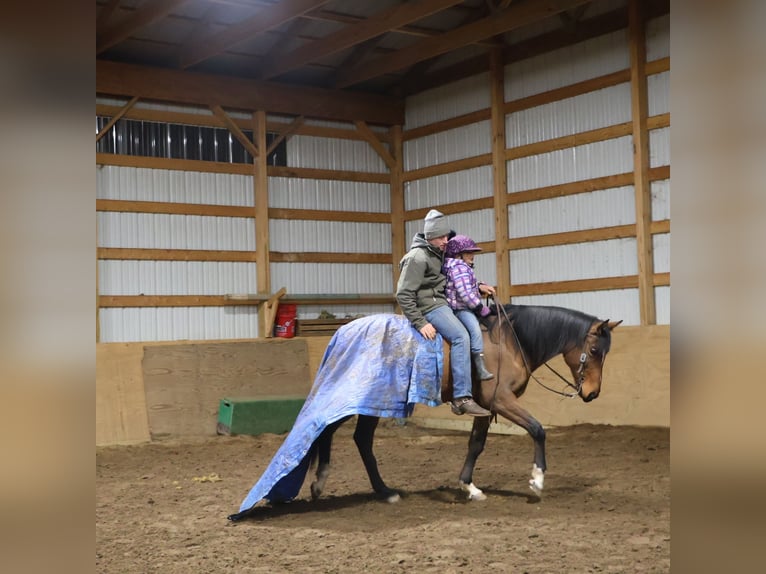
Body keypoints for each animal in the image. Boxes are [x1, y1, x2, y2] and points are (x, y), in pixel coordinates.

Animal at [228, 304, 620, 520]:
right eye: (594, 350)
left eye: (605, 353)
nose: (592, 393)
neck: (508, 341)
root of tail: (343, 331)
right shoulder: (502, 401)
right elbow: (538, 429)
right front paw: (537, 482)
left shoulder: (483, 406)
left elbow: (476, 445)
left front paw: (469, 487)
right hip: (365, 400)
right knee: (343, 434)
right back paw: (367, 489)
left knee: (336, 433)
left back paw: (338, 485)